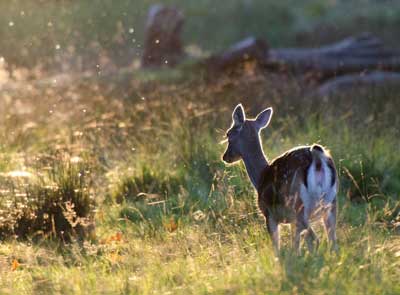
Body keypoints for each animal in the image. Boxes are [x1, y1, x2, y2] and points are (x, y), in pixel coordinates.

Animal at [222, 104, 338, 254]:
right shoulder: (290, 221)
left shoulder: (269, 214)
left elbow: (277, 246)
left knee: (314, 239)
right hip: (331, 204)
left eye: (228, 133)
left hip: (299, 206)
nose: (225, 156)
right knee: (332, 241)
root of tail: (317, 158)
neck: (260, 177)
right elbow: (295, 244)